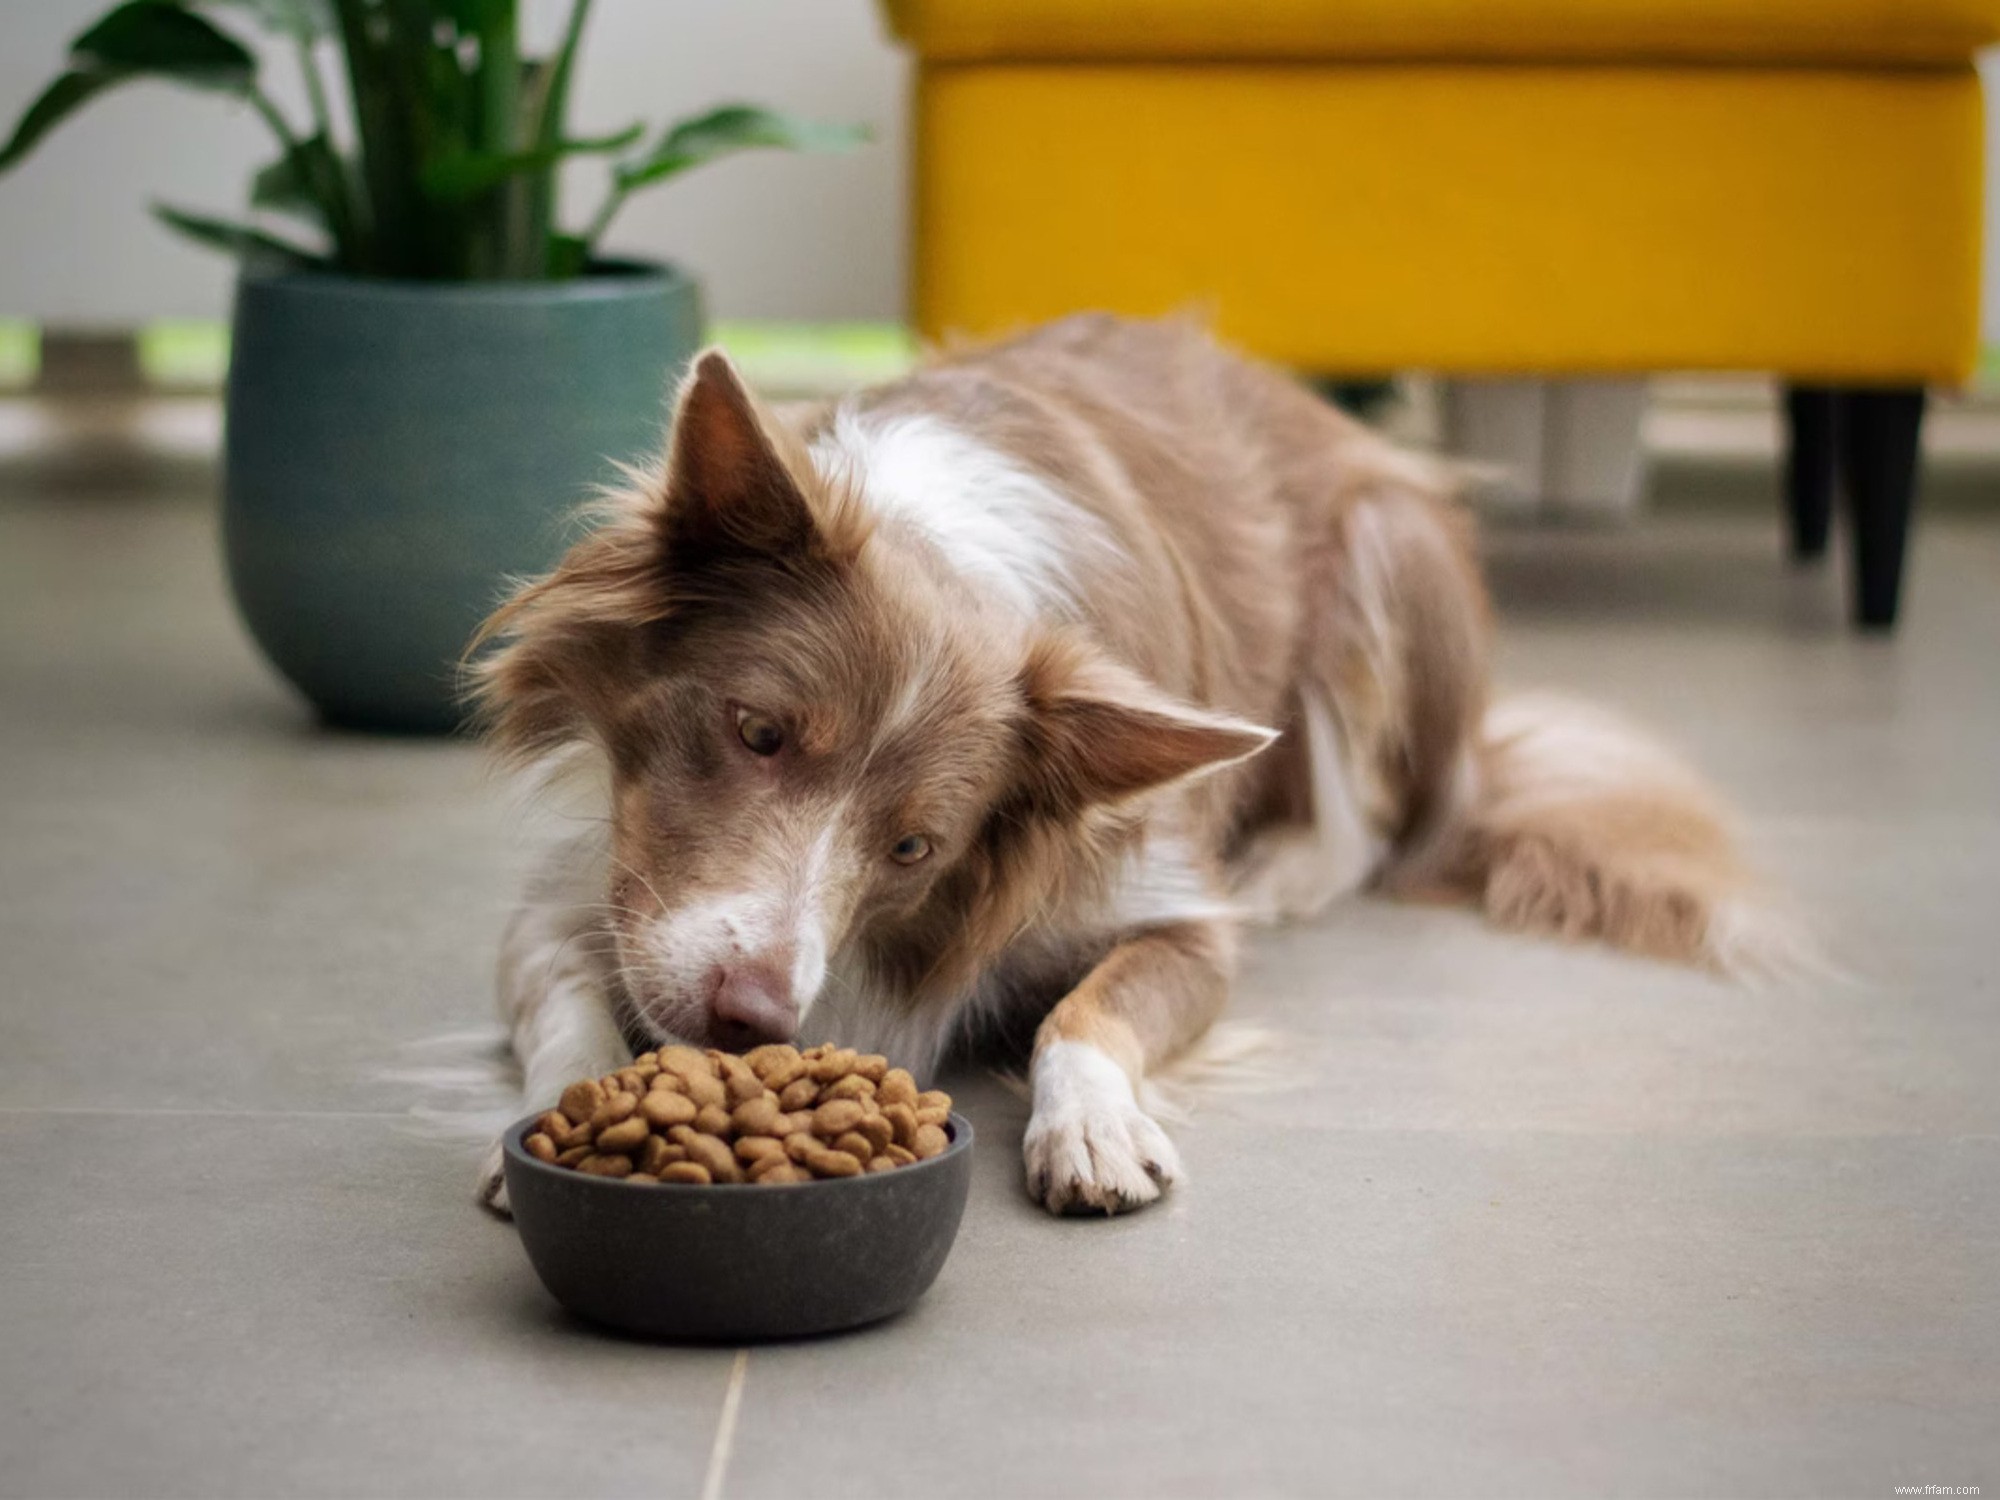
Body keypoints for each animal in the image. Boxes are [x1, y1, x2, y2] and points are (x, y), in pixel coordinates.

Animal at [468, 312, 1784, 1216]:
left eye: (913, 848)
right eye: (756, 732)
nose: (750, 1021)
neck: (943, 551)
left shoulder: (1169, 908)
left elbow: (1084, 1010)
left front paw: (1090, 1125)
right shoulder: (594, 887)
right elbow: (565, 997)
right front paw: (556, 1114)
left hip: (1386, 551)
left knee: (1378, 826)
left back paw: (1288, 868)